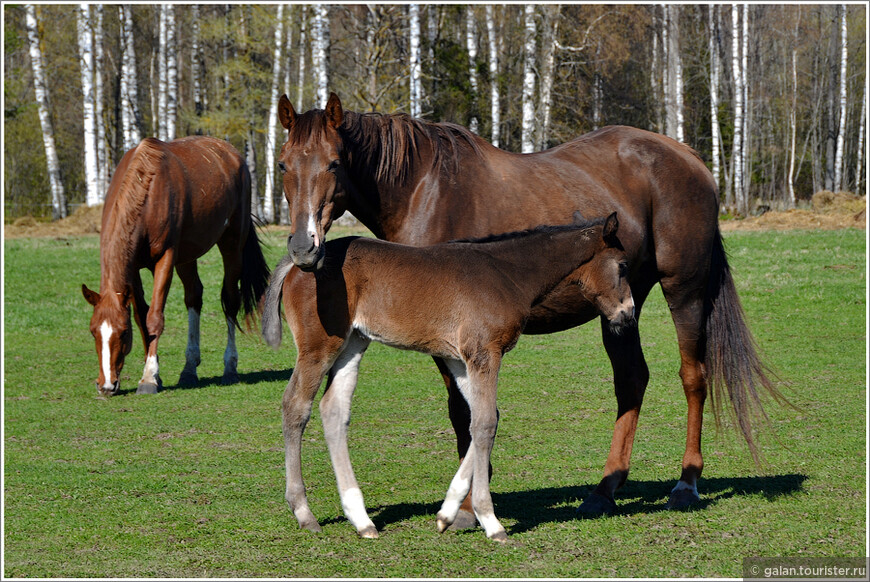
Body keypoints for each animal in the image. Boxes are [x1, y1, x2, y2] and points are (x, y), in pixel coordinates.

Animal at [82, 138, 272, 396]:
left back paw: (230, 367)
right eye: (93, 331)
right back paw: (189, 370)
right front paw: (154, 372)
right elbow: (142, 319)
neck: (147, 190)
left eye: (123, 332)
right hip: (187, 257)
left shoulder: (165, 259)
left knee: (231, 300)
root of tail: (232, 153)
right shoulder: (134, 270)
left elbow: (154, 318)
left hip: (232, 245)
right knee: (194, 296)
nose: (106, 384)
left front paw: (149, 378)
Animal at [262, 214, 636, 544]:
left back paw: (361, 519)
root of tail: (296, 263)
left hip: (353, 343)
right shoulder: (484, 353)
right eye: (622, 266)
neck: (507, 273)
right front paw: (491, 521)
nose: (628, 315)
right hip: (320, 346)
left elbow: (486, 419)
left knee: (334, 410)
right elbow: (484, 424)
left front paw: (447, 513)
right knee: (295, 406)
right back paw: (304, 513)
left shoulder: (461, 360)